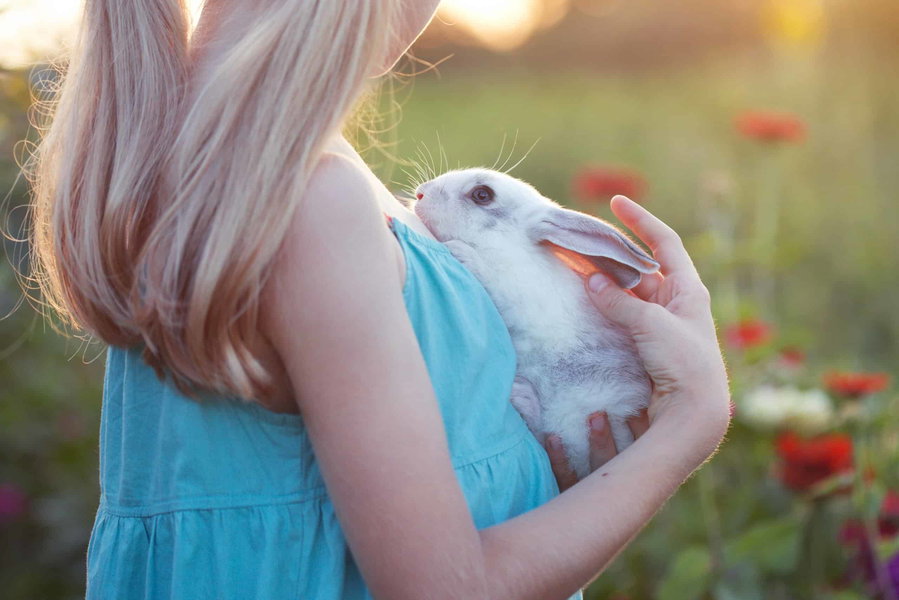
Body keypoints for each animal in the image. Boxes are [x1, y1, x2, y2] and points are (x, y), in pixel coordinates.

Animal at [412, 168, 660, 478]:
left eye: (482, 195)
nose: (421, 193)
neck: (508, 245)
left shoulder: (516, 293)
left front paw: (459, 250)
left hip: (575, 420)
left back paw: (521, 395)